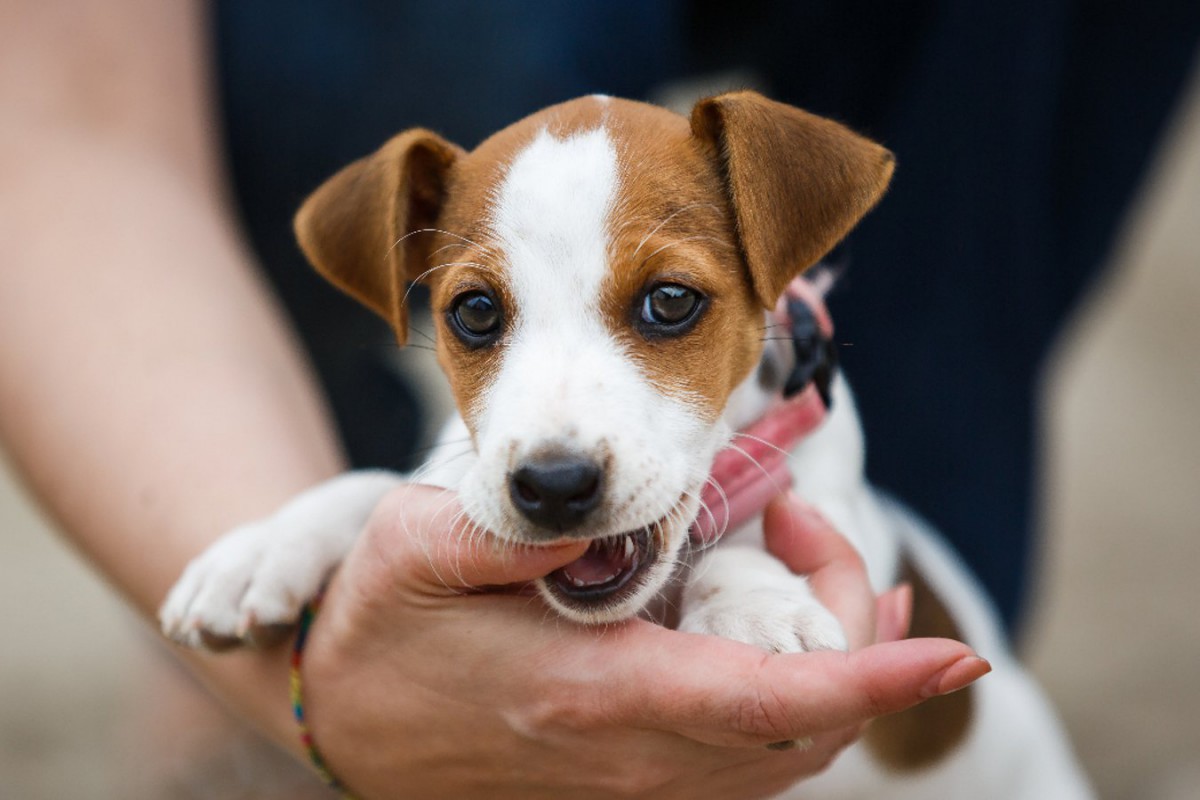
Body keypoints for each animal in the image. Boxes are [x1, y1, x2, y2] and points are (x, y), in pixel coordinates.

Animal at [159, 90, 1099, 796]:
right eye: (475, 312)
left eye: (672, 301)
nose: (554, 485)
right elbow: (378, 487)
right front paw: (263, 548)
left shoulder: (844, 516)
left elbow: (759, 531)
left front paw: (754, 608)